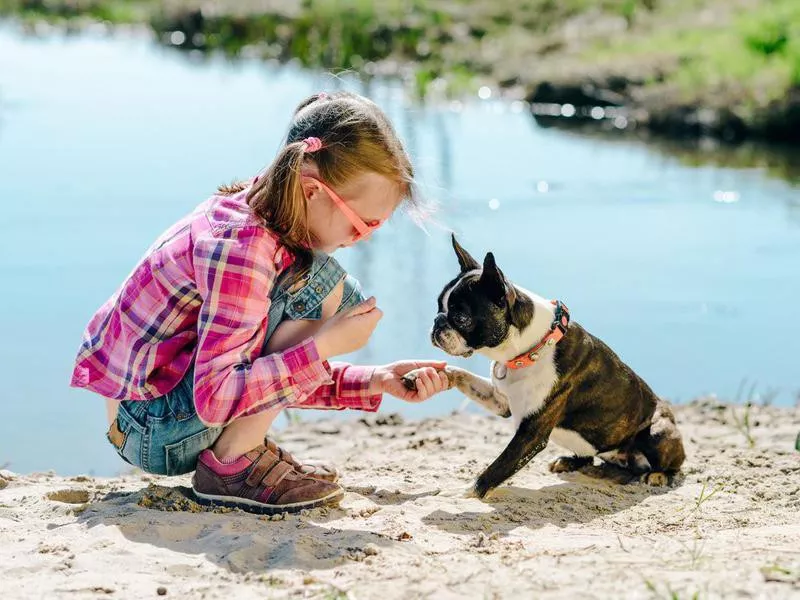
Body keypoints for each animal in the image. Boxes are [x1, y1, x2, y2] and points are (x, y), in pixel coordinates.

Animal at [404, 237, 684, 500]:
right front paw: (421, 375)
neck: (527, 350)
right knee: (589, 456)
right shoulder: (500, 400)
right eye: (438, 307)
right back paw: (570, 462)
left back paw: (658, 475)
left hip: (658, 432)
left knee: (673, 465)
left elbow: (497, 467)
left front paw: (463, 493)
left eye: (461, 318)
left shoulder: (531, 433)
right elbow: (461, 374)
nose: (437, 324)